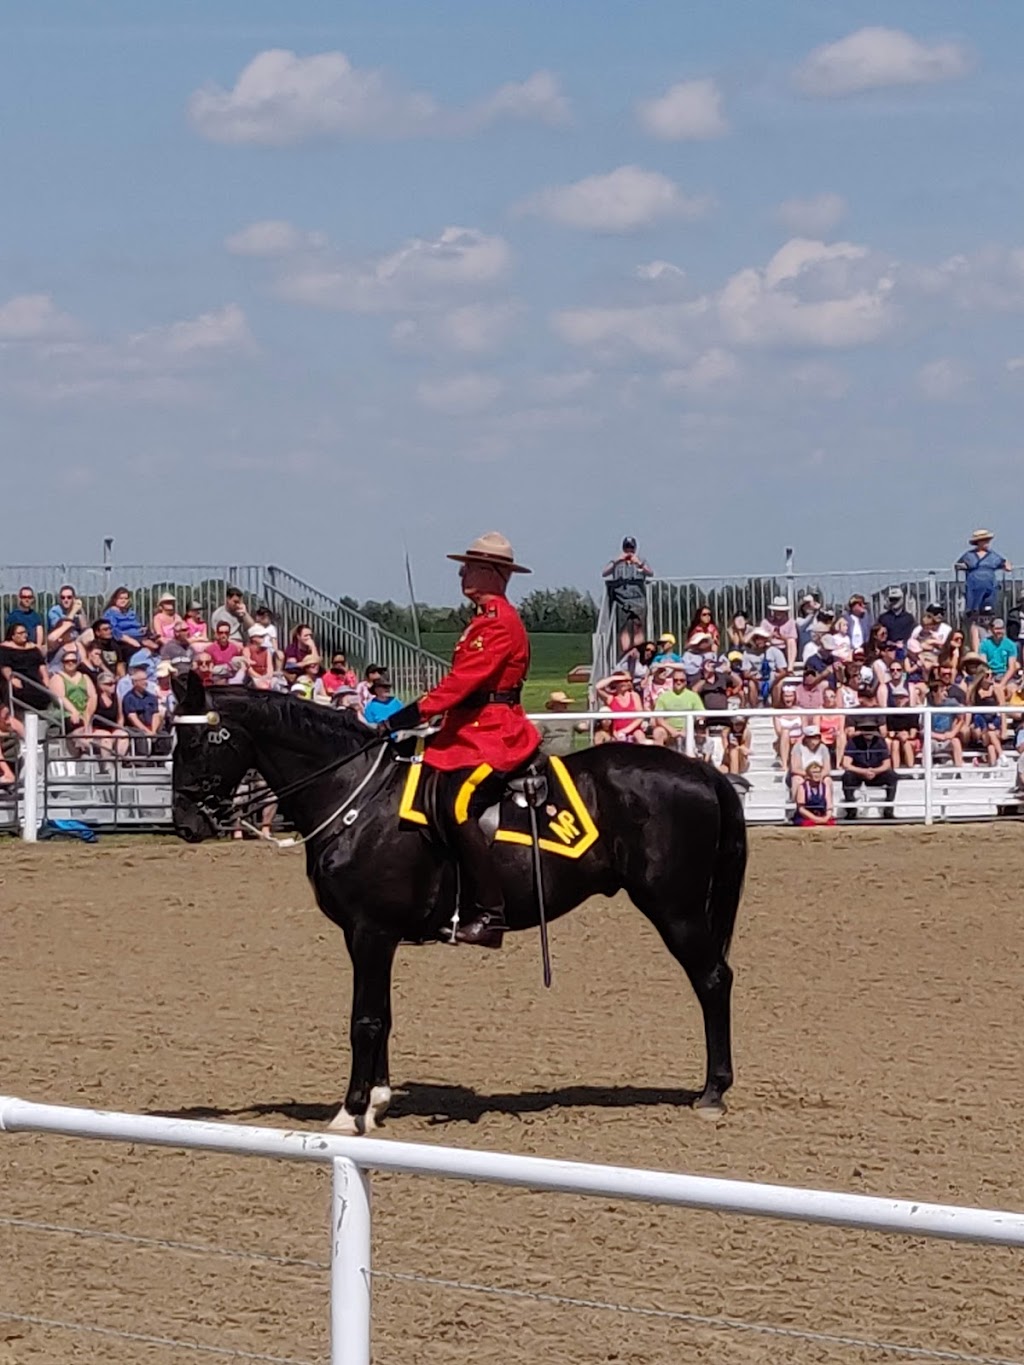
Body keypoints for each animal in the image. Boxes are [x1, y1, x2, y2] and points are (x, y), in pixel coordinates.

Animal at [168, 671, 748, 1130]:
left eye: (196, 742)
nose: (187, 822)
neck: (358, 796)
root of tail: (703, 771)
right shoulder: (370, 936)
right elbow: (383, 1015)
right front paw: (376, 1102)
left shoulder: (370, 930)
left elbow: (364, 1020)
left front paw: (350, 1112)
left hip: (675, 908)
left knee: (713, 979)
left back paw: (713, 1092)